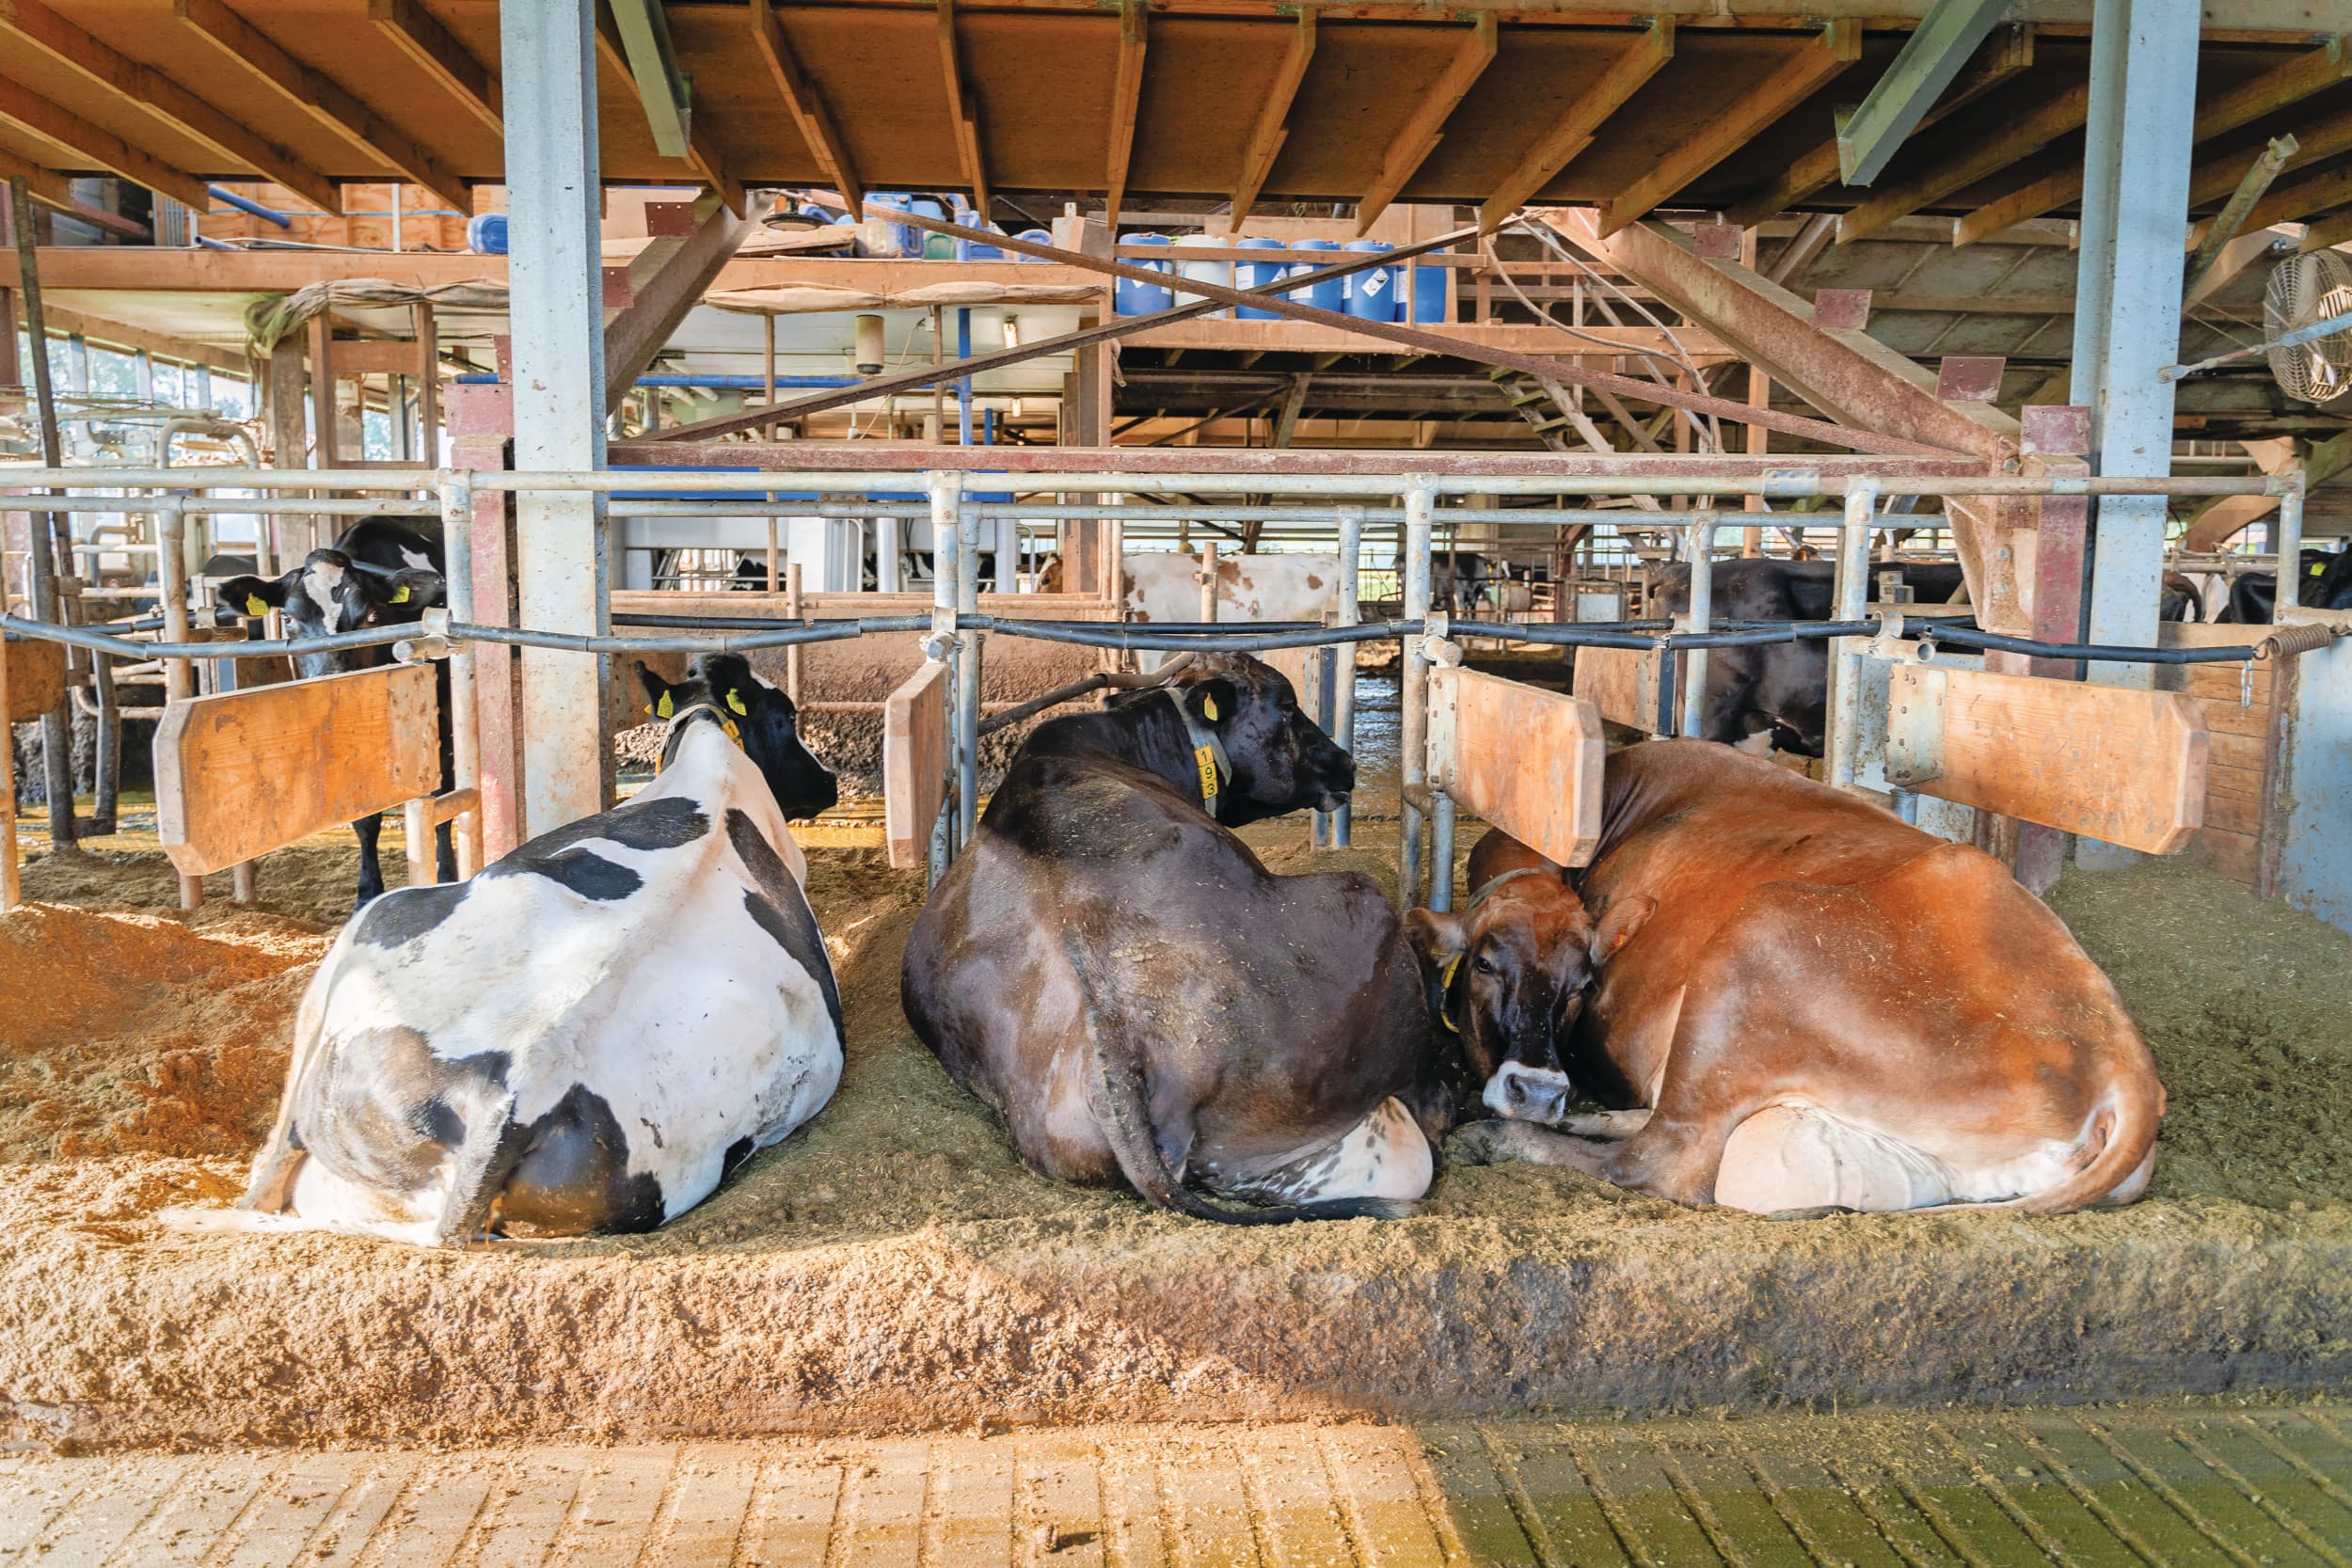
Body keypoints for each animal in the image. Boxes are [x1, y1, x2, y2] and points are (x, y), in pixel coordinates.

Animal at [184, 653, 844, 1246]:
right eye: (787, 715)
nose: (831, 781)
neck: (712, 750)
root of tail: (511, 1096)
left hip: (369, 934)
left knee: (274, 1165)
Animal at [215, 518, 453, 908]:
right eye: (287, 618)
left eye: (370, 616)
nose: (334, 684)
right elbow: (365, 819)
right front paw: (366, 894)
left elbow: (443, 803)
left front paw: (446, 875)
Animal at [1426, 740, 2165, 1215]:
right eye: (1484, 962)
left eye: (1584, 985)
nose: (1538, 1091)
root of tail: (2123, 1066)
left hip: (1755, 941)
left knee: (1662, 1158)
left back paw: (1500, 1139)